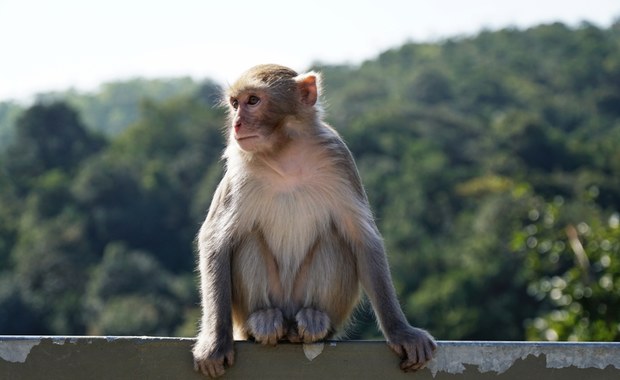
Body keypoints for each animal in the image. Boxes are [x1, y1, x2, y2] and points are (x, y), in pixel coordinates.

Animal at [194, 63, 436, 376]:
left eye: (253, 101)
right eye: (235, 104)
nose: (236, 124)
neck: (285, 154)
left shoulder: (339, 159)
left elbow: (364, 239)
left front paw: (401, 332)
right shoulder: (239, 173)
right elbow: (215, 241)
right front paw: (215, 342)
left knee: (334, 240)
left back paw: (314, 320)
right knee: (249, 241)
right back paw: (263, 319)